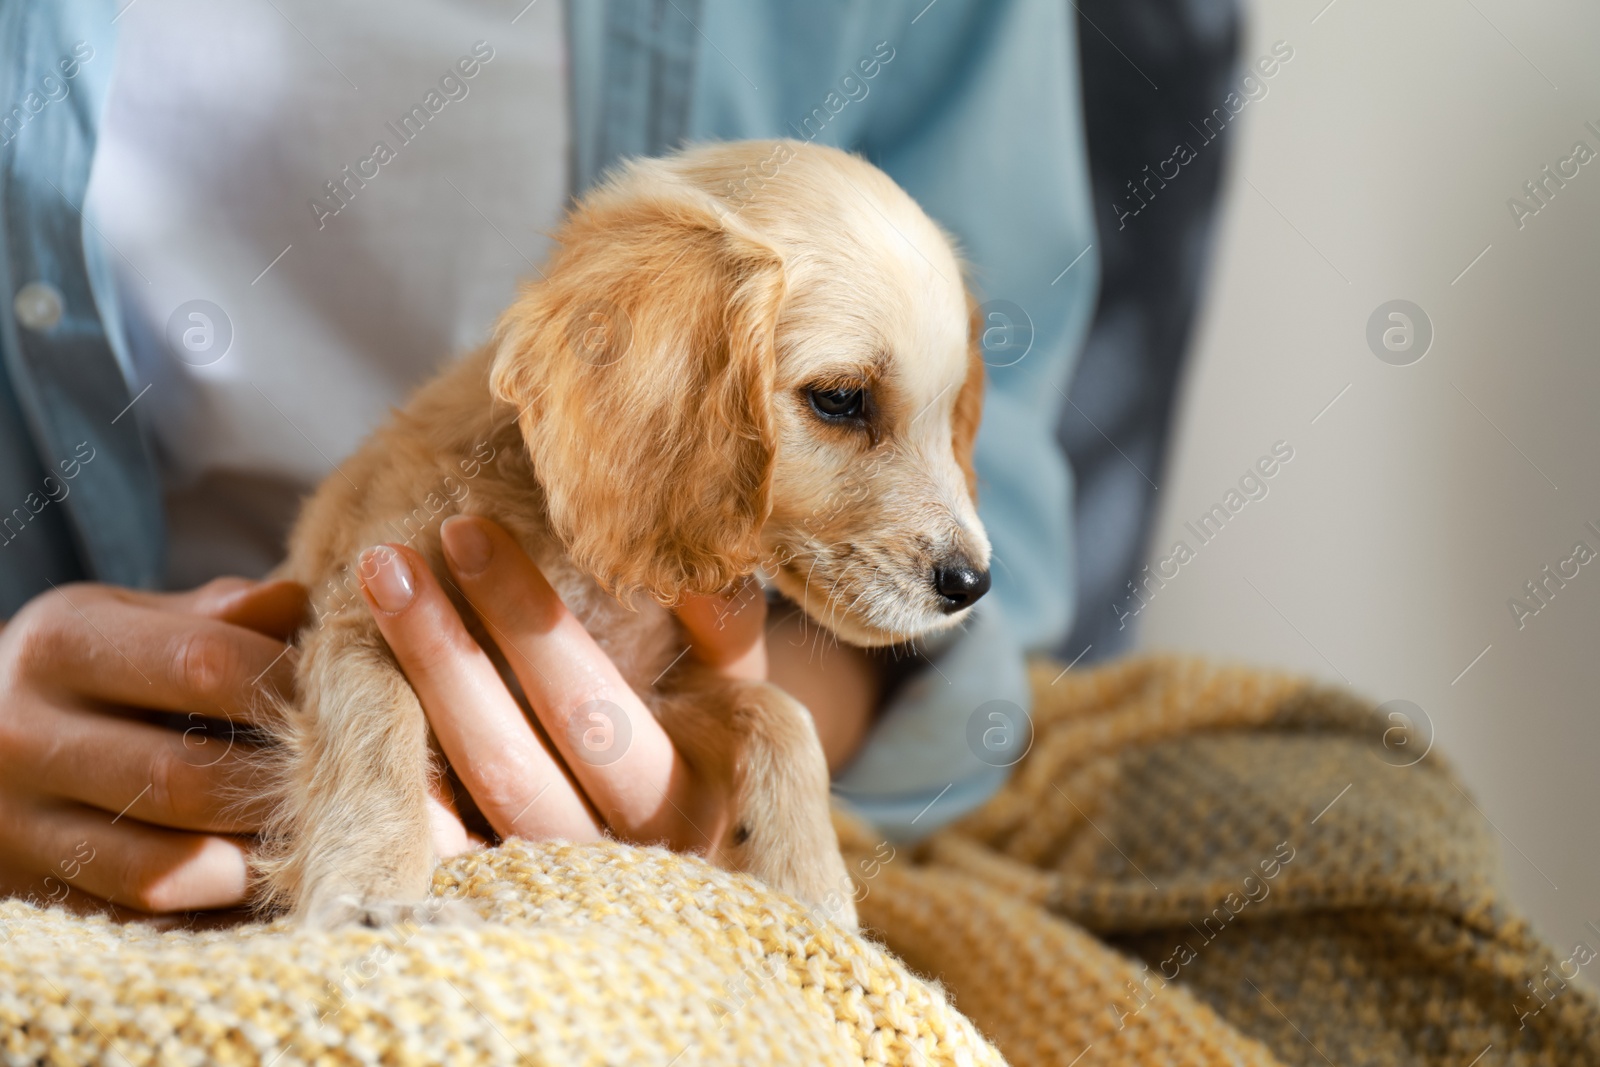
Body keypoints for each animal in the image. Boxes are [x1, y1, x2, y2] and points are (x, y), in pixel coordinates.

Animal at [259, 139, 985, 927]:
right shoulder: (363, 607)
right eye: (841, 399)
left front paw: (808, 880)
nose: (973, 583)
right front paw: (369, 885)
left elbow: (779, 710)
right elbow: (377, 726)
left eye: (949, 417)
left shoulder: (647, 699)